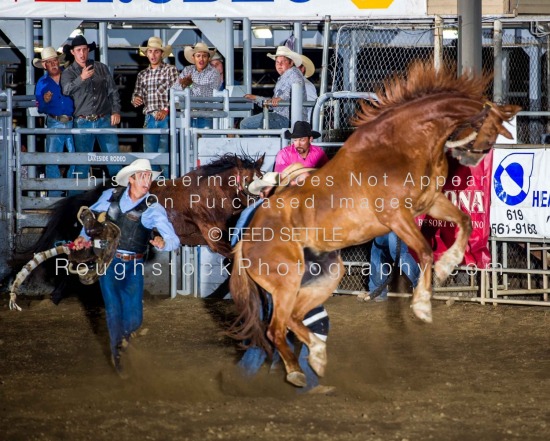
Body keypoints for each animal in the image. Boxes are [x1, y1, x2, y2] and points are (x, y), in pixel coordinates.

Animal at [231, 60, 524, 386]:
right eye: (488, 128)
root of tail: (246, 240)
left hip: (325, 277)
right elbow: (424, 252)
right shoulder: (397, 216)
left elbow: (465, 222)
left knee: (294, 318)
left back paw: (317, 356)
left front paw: (447, 266)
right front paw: (422, 306)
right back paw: (296, 372)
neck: (401, 143)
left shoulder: (430, 202)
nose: (473, 159)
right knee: (275, 329)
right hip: (286, 282)